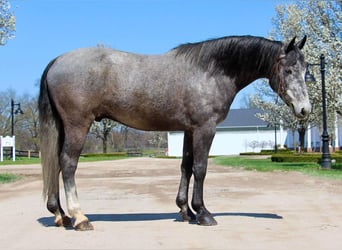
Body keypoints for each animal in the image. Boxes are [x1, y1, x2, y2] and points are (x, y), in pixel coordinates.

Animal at [38, 34, 312, 230]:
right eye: (288, 70)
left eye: (306, 70)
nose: (305, 109)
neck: (210, 72)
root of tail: (56, 61)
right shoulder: (205, 128)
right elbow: (200, 169)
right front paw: (203, 213)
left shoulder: (189, 130)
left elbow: (186, 167)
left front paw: (186, 211)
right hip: (77, 125)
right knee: (68, 164)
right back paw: (79, 217)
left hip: (62, 127)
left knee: (56, 163)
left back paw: (60, 214)